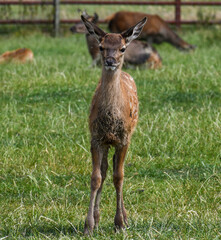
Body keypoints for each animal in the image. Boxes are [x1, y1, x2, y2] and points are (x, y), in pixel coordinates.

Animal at [80, 15, 147, 234]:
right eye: (101, 46)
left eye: (122, 48)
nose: (110, 61)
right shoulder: (96, 138)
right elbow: (96, 177)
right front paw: (89, 225)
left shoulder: (123, 139)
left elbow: (119, 177)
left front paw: (119, 223)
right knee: (105, 170)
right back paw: (98, 217)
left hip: (126, 136)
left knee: (118, 171)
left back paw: (124, 218)